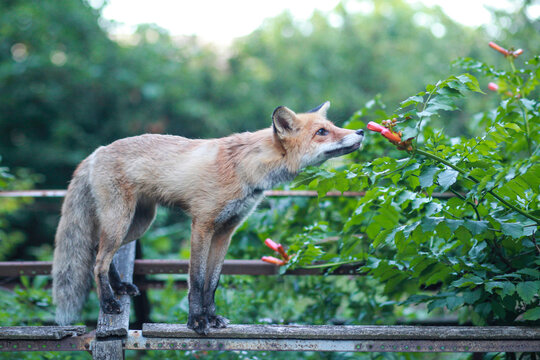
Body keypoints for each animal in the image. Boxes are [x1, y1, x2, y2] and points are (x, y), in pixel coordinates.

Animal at [52, 102, 364, 334]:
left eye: (334, 127)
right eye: (322, 131)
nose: (361, 131)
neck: (246, 169)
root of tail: (96, 151)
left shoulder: (226, 230)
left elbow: (212, 283)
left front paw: (212, 317)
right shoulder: (202, 224)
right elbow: (196, 281)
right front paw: (196, 321)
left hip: (138, 223)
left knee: (98, 251)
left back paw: (119, 287)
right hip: (120, 221)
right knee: (98, 262)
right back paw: (108, 302)